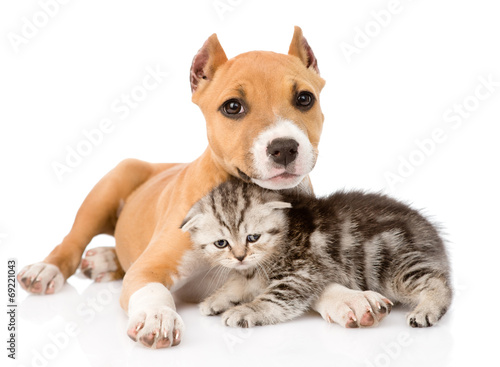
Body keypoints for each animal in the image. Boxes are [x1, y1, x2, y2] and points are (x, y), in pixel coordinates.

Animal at [16, 27, 324, 350]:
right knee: (73, 241)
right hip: (111, 184)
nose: (284, 147)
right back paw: (46, 269)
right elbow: (153, 289)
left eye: (304, 98)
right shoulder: (149, 267)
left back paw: (103, 260)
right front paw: (158, 317)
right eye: (232, 107)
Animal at [181, 180, 454, 330]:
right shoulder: (252, 273)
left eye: (252, 237)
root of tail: (432, 234)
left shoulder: (300, 274)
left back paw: (426, 310)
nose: (239, 257)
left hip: (393, 266)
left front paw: (244, 311)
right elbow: (237, 282)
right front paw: (216, 299)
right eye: (221, 243)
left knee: (437, 282)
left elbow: (273, 299)